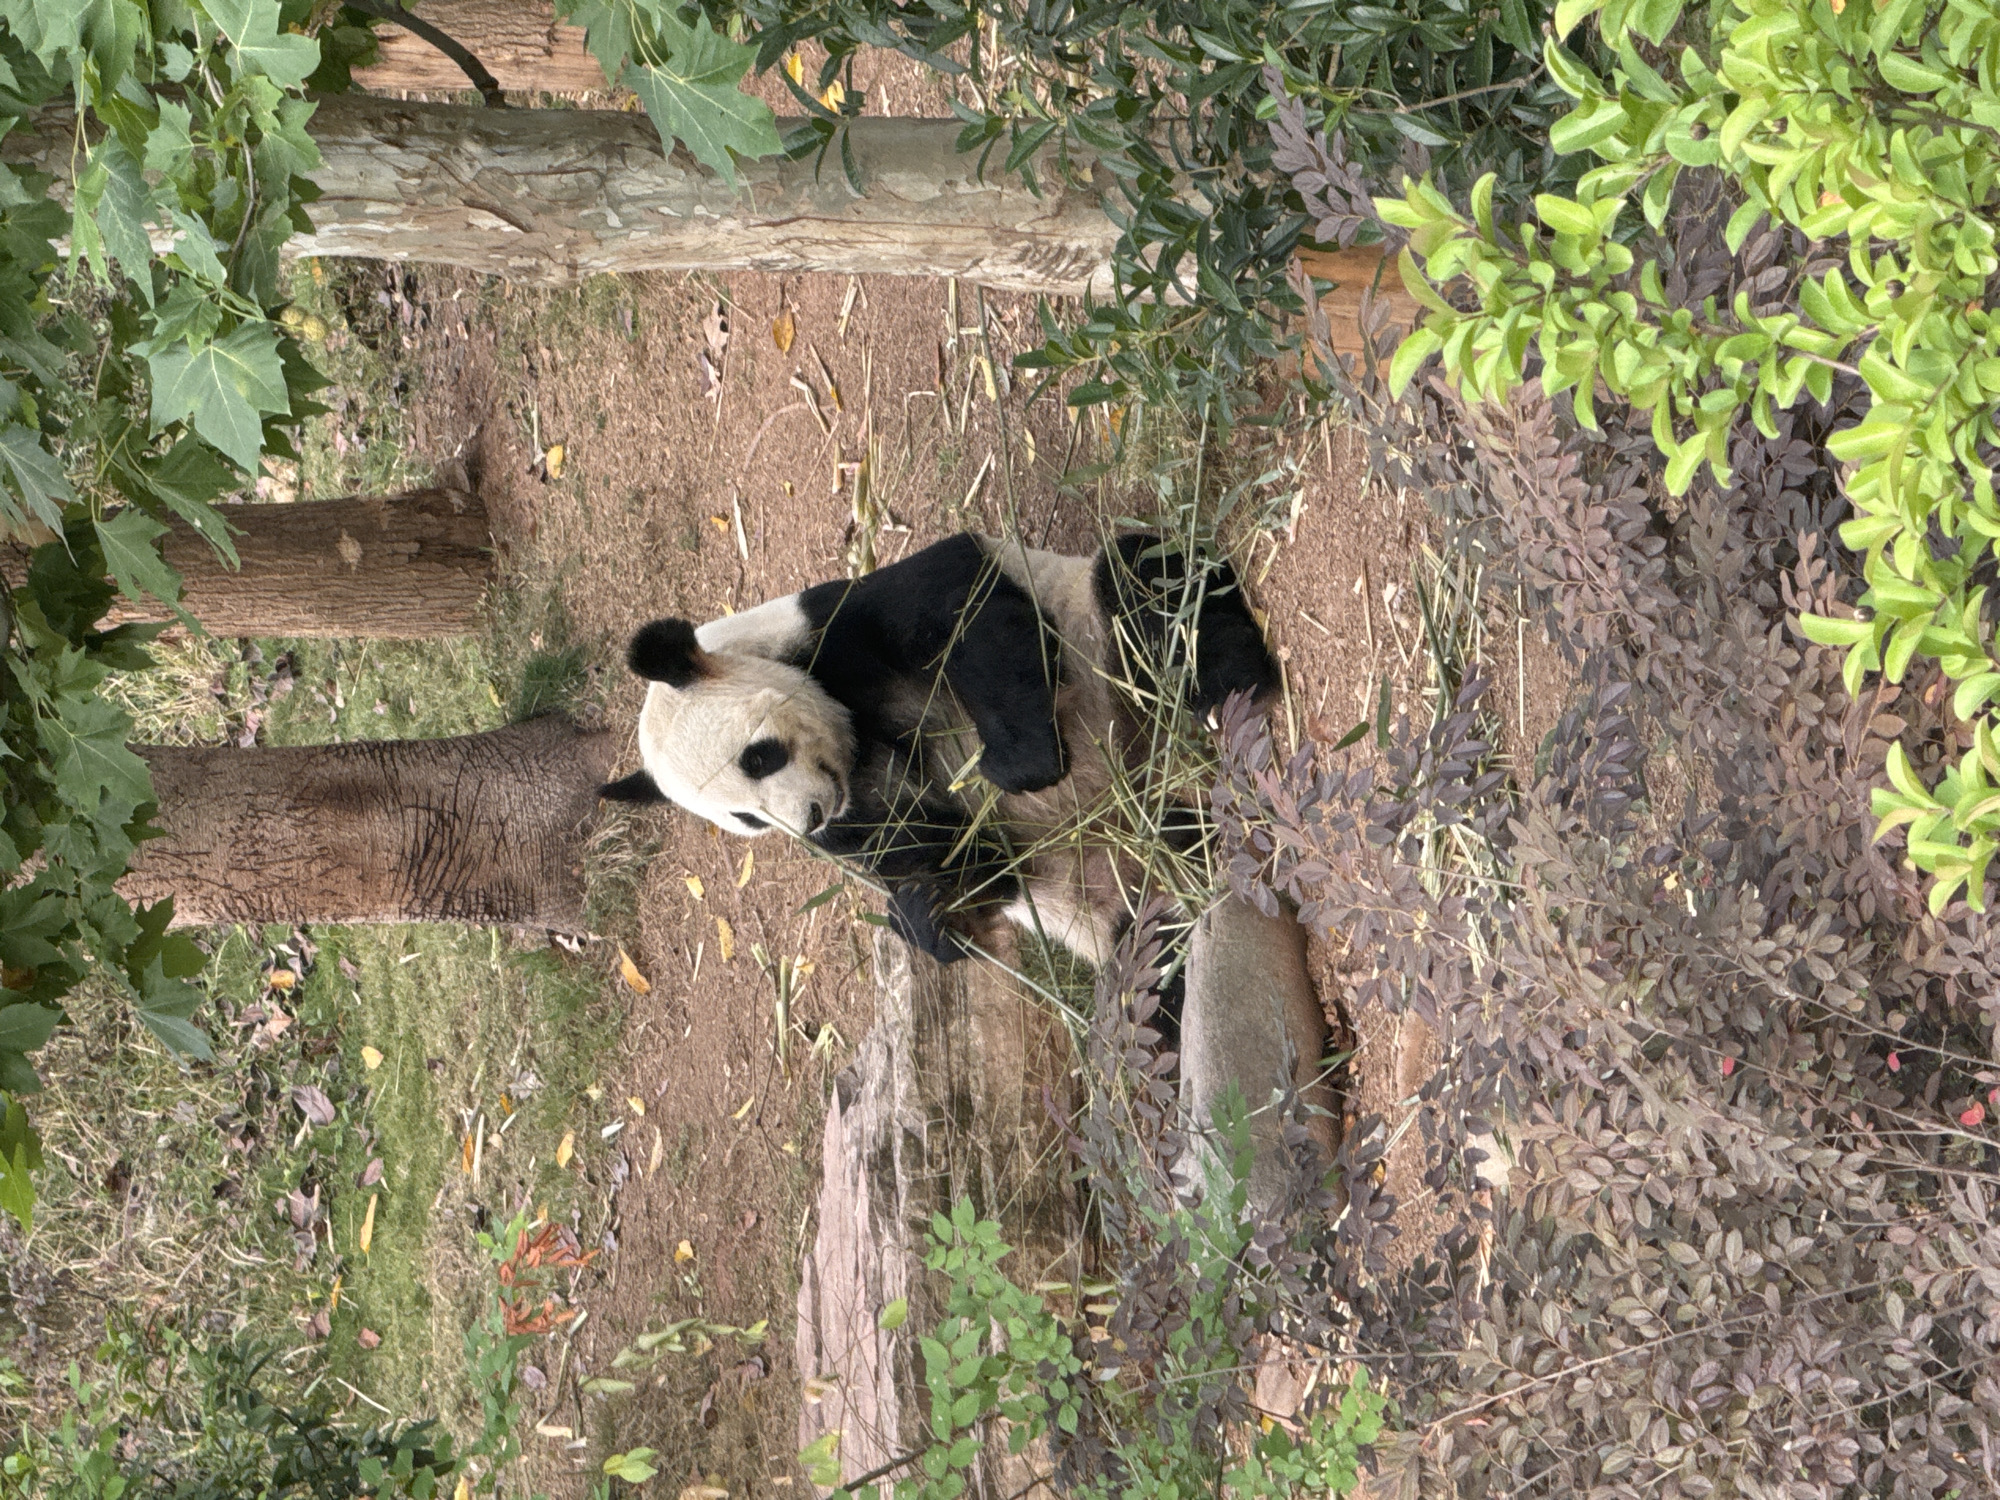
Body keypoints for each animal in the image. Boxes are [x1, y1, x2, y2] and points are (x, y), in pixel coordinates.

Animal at [599, 531, 1278, 970]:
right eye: (746, 820)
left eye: (757, 757)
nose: (810, 815)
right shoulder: (857, 817)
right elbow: (931, 852)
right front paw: (930, 912)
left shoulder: (828, 623)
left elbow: (959, 610)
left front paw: (1013, 764)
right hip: (1098, 900)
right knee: (1153, 957)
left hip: (1095, 633)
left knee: (1149, 584)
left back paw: (1232, 696)